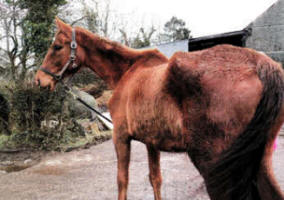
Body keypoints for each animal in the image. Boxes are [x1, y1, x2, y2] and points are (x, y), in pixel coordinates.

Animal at [35, 18, 284, 199]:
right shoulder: (151, 142)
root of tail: (262, 66)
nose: (39, 79)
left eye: (57, 46)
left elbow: (122, 181)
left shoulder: (120, 136)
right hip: (259, 162)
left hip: (214, 165)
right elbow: (155, 179)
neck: (127, 71)